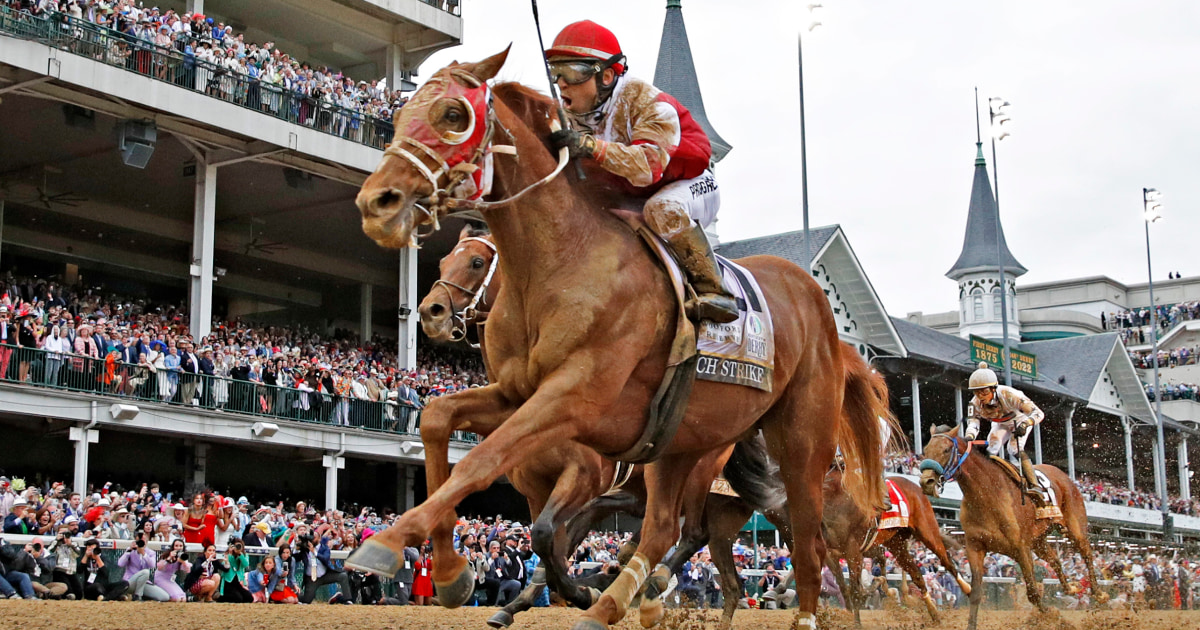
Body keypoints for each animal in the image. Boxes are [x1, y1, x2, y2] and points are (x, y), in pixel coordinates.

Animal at [350, 50, 888, 628]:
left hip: (800, 439)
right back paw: (621, 599)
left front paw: (388, 543)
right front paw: (456, 573)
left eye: (454, 114)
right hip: (683, 441)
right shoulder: (520, 401)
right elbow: (438, 419)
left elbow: (492, 473)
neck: (561, 262)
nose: (377, 201)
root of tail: (821, 309)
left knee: (804, 535)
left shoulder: (578, 410)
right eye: (402, 113)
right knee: (668, 530)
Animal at [921, 424, 1099, 624]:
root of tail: (1065, 475)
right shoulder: (975, 547)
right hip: (1038, 541)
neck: (986, 495)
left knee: (1086, 554)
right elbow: (975, 594)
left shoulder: (1021, 548)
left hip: (1074, 526)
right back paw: (1071, 588)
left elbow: (1033, 593)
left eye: (946, 450)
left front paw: (1051, 614)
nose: (926, 482)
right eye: (925, 450)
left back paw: (1099, 594)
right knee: (1055, 559)